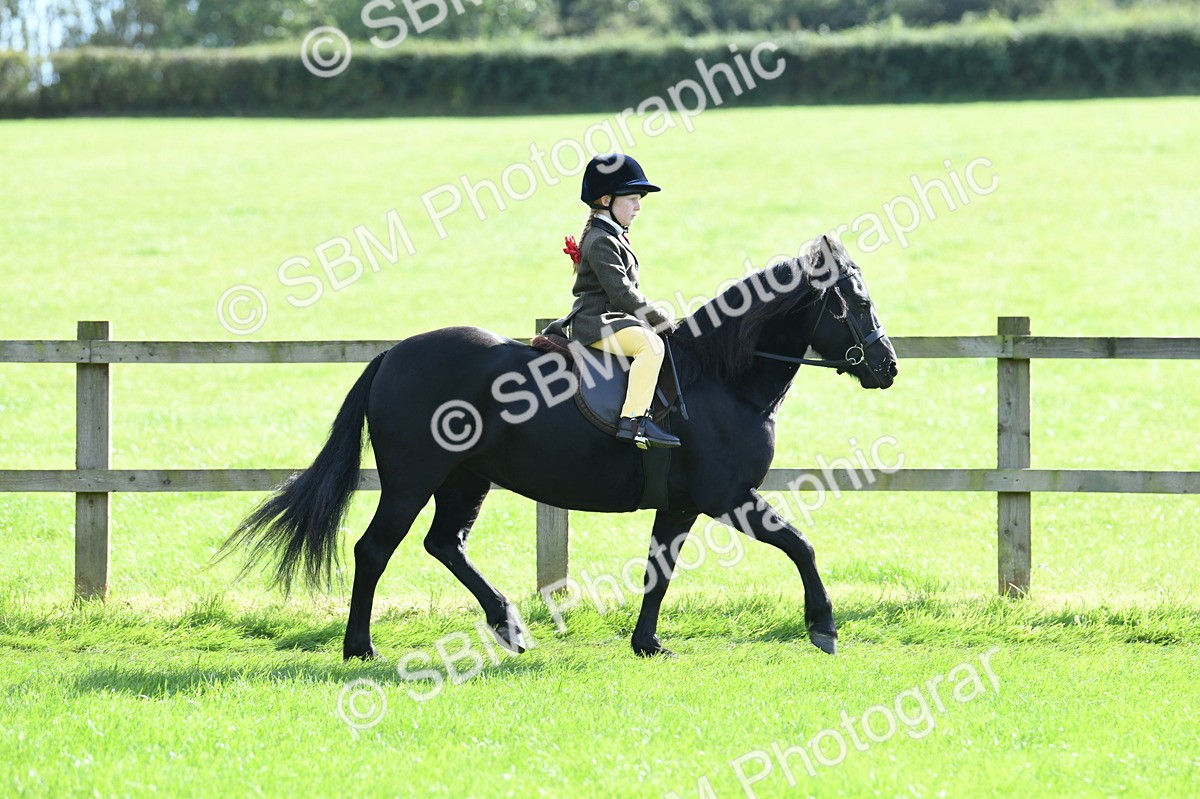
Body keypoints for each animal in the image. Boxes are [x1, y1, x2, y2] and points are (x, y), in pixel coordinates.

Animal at [220, 236, 897, 659]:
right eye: (859, 303)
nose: (887, 367)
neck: (720, 377)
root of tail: (393, 355)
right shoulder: (727, 496)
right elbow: (800, 545)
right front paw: (823, 626)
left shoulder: (680, 505)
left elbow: (658, 571)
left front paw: (647, 644)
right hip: (414, 481)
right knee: (375, 549)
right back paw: (361, 648)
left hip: (466, 479)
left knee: (444, 544)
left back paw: (510, 627)